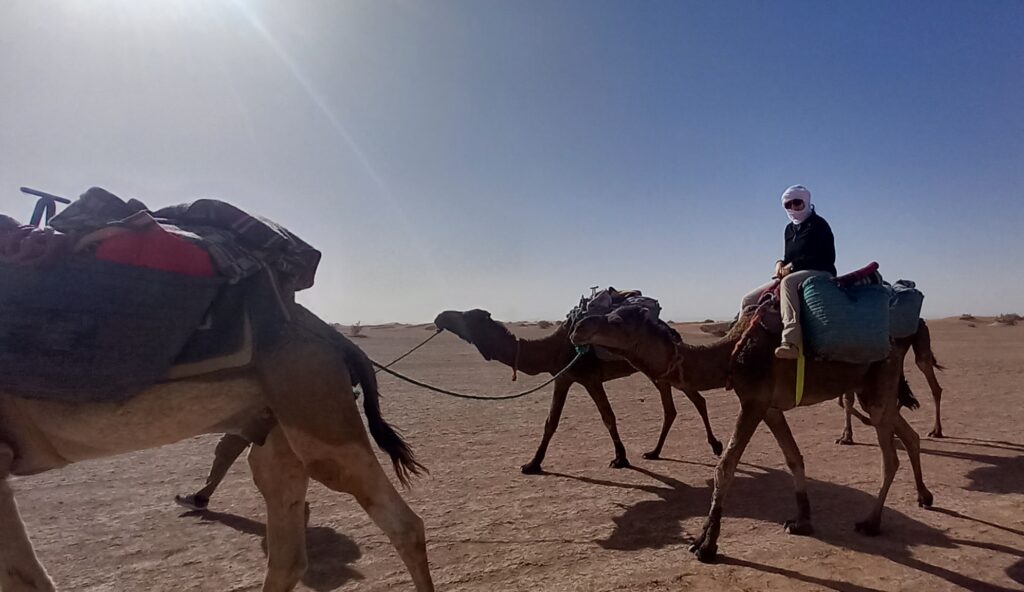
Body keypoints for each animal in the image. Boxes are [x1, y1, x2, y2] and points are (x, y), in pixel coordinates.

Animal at [0, 304, 434, 592]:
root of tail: (335, 337)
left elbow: (25, 579)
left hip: (317, 412)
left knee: (403, 524)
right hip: (277, 427)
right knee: (288, 554)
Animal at [433, 309, 722, 474]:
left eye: (467, 315)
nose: (440, 316)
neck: (550, 349)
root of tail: (672, 331)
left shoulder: (590, 378)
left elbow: (608, 417)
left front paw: (620, 459)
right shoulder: (563, 378)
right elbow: (551, 422)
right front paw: (533, 464)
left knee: (697, 399)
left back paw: (716, 445)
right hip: (656, 373)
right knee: (671, 409)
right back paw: (654, 452)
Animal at [569, 304, 933, 563]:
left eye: (617, 320)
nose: (578, 326)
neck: (729, 355)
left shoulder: (754, 401)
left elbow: (725, 467)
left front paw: (706, 544)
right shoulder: (770, 408)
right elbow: (793, 458)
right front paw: (802, 522)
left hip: (878, 385)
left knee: (890, 457)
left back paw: (872, 522)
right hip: (870, 391)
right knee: (909, 435)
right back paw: (924, 496)